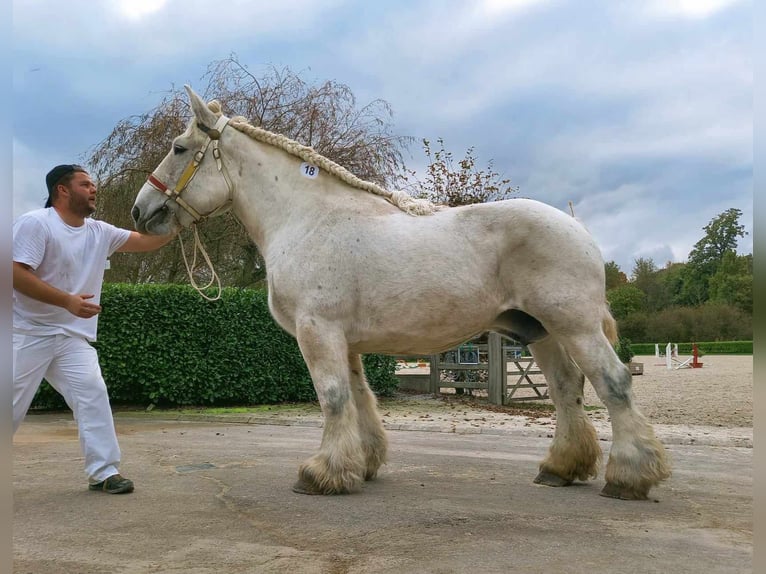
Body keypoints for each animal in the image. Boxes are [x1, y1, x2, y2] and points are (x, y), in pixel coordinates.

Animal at [132, 84, 672, 500]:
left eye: (179, 148)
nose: (141, 210)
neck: (306, 218)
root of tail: (578, 228)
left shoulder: (317, 330)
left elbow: (332, 397)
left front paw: (321, 473)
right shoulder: (344, 340)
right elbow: (359, 396)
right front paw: (362, 464)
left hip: (574, 326)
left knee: (613, 383)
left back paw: (629, 478)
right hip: (540, 332)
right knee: (565, 390)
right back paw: (560, 468)